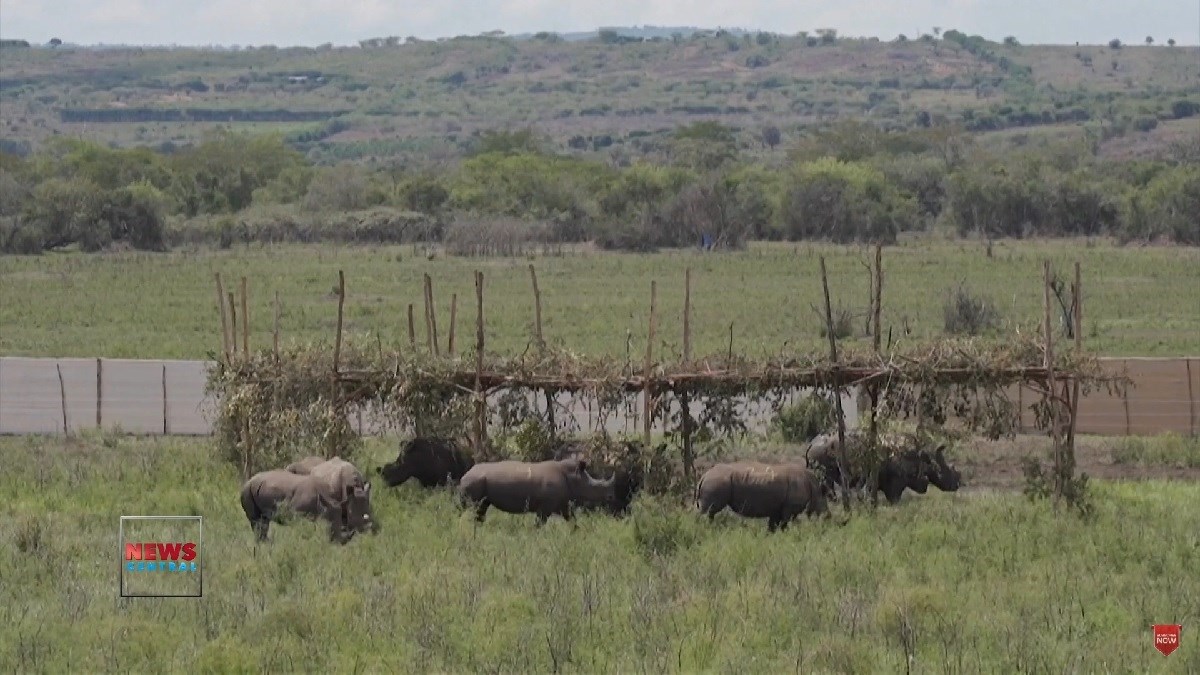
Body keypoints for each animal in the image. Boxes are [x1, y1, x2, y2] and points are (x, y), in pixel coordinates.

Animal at [238, 468, 374, 540]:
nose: (339, 542)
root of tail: (249, 480)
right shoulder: (297, 513)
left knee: (263, 521)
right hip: (247, 490)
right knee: (256, 521)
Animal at [458, 454, 619, 523]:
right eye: (595, 487)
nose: (612, 497)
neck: (574, 476)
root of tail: (464, 474)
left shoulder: (562, 503)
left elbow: (572, 520)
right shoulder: (545, 507)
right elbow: (539, 523)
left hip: (477, 482)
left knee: (482, 507)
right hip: (473, 482)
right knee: (473, 507)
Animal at [696, 458, 825, 528]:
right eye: (821, 507)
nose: (827, 517)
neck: (813, 485)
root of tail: (704, 476)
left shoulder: (776, 509)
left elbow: (773, 526)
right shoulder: (788, 507)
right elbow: (783, 525)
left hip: (715, 480)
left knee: (709, 512)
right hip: (716, 481)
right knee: (709, 510)